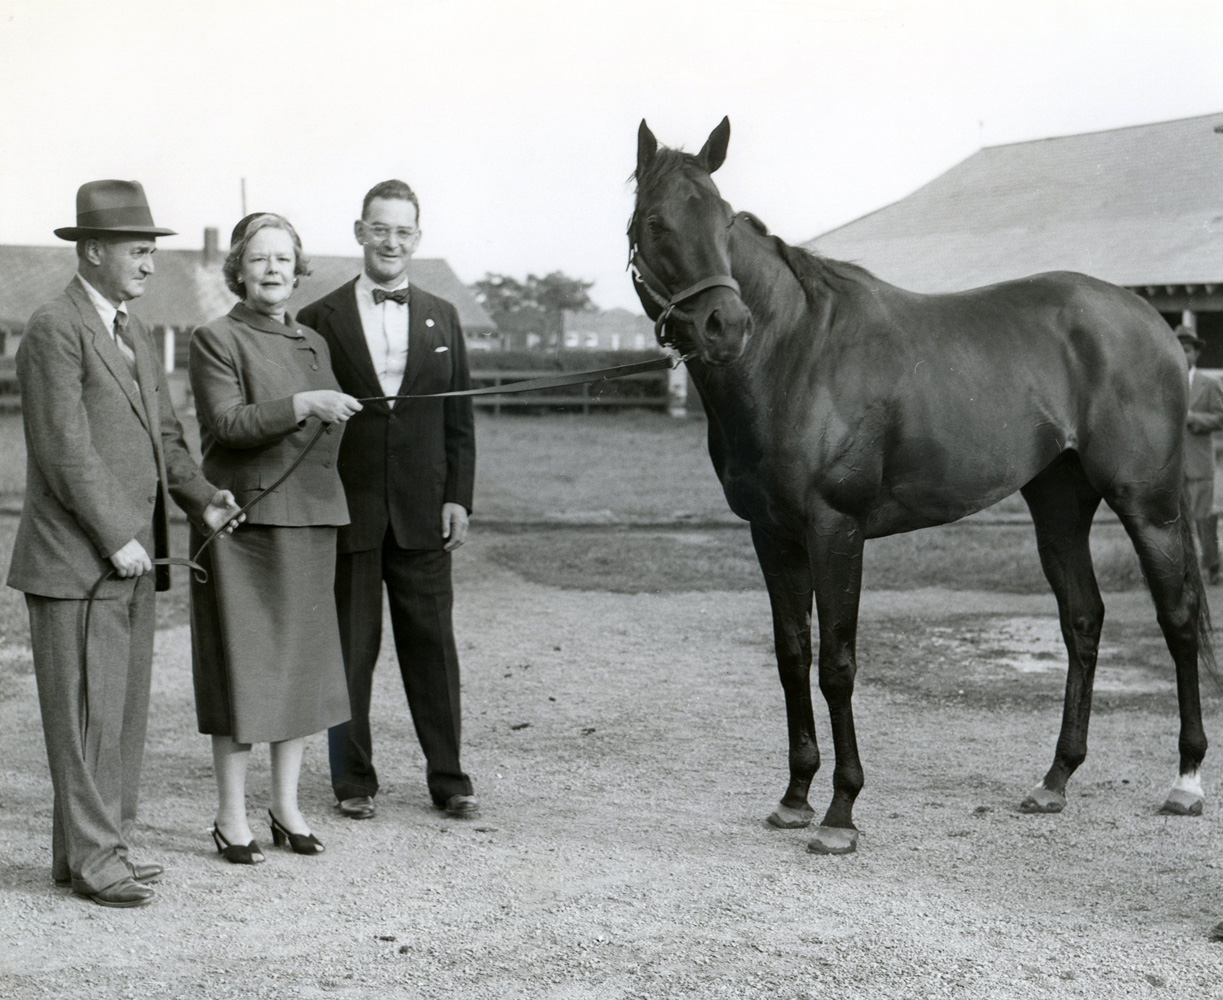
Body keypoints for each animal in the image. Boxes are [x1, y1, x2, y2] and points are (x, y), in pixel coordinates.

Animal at [631, 114, 1213, 850]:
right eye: (655, 221)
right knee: (1082, 619)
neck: (794, 354)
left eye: (722, 218)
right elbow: (791, 656)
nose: (725, 326)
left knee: (1178, 619)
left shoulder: (835, 529)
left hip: (1149, 505)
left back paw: (1186, 781)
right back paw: (1054, 780)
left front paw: (840, 812)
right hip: (1059, 502)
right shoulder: (772, 535)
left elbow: (836, 664)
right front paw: (794, 797)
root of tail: (1148, 321)